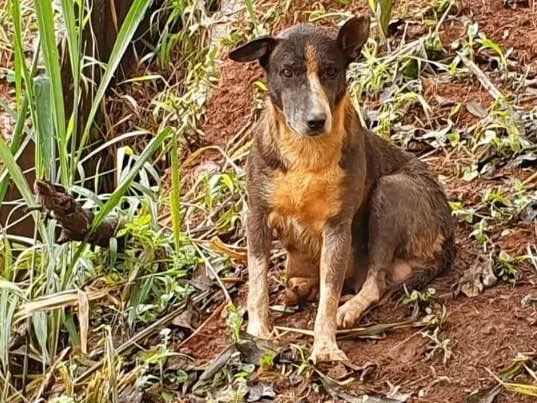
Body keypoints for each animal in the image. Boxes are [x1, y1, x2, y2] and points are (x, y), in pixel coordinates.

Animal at [228, 15, 454, 362]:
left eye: (331, 71)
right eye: (287, 72)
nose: (316, 120)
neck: (306, 153)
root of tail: (449, 237)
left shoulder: (337, 228)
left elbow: (329, 297)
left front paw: (325, 346)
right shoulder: (257, 214)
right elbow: (257, 282)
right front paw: (258, 331)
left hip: (392, 190)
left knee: (376, 280)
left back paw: (349, 308)